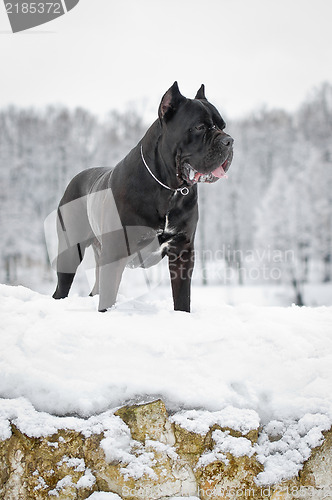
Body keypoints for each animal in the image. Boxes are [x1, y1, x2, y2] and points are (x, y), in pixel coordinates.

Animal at [52, 82, 233, 310]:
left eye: (223, 126)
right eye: (199, 127)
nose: (229, 141)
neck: (168, 188)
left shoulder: (182, 250)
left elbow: (182, 296)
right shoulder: (116, 250)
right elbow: (108, 297)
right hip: (70, 250)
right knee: (62, 287)